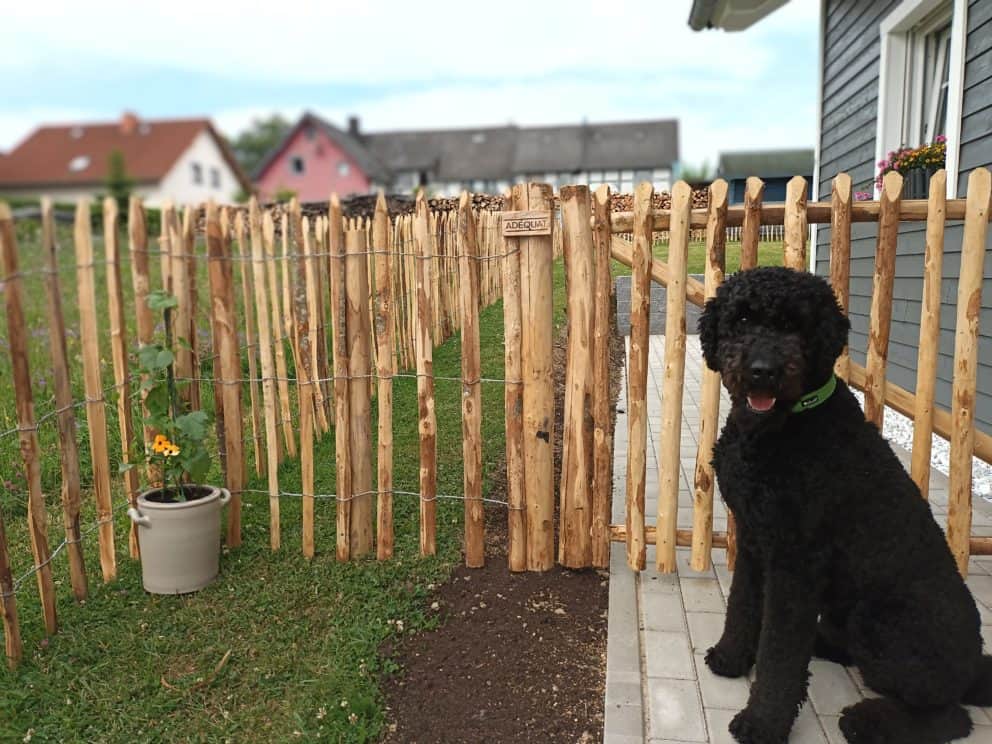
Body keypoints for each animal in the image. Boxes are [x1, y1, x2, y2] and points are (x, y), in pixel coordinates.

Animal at [696, 268, 992, 744]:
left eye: (795, 325)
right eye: (741, 318)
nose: (763, 372)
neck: (780, 426)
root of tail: (973, 668)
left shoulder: (795, 564)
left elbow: (780, 653)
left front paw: (762, 722)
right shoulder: (757, 542)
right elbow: (742, 605)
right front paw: (731, 657)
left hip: (881, 623)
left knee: (951, 716)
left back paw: (867, 720)